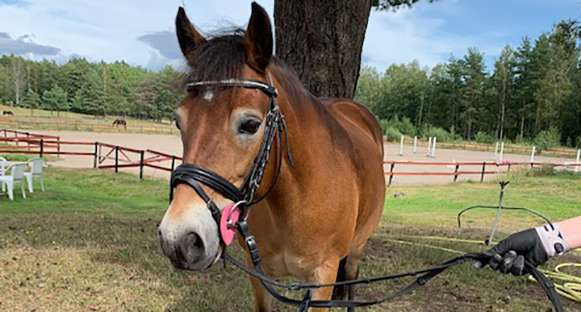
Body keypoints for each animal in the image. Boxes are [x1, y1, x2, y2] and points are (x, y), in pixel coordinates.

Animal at [156, 3, 388, 310]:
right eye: (178, 121)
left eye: (251, 124)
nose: (179, 240)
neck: (296, 200)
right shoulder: (258, 273)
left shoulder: (323, 278)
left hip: (355, 251)